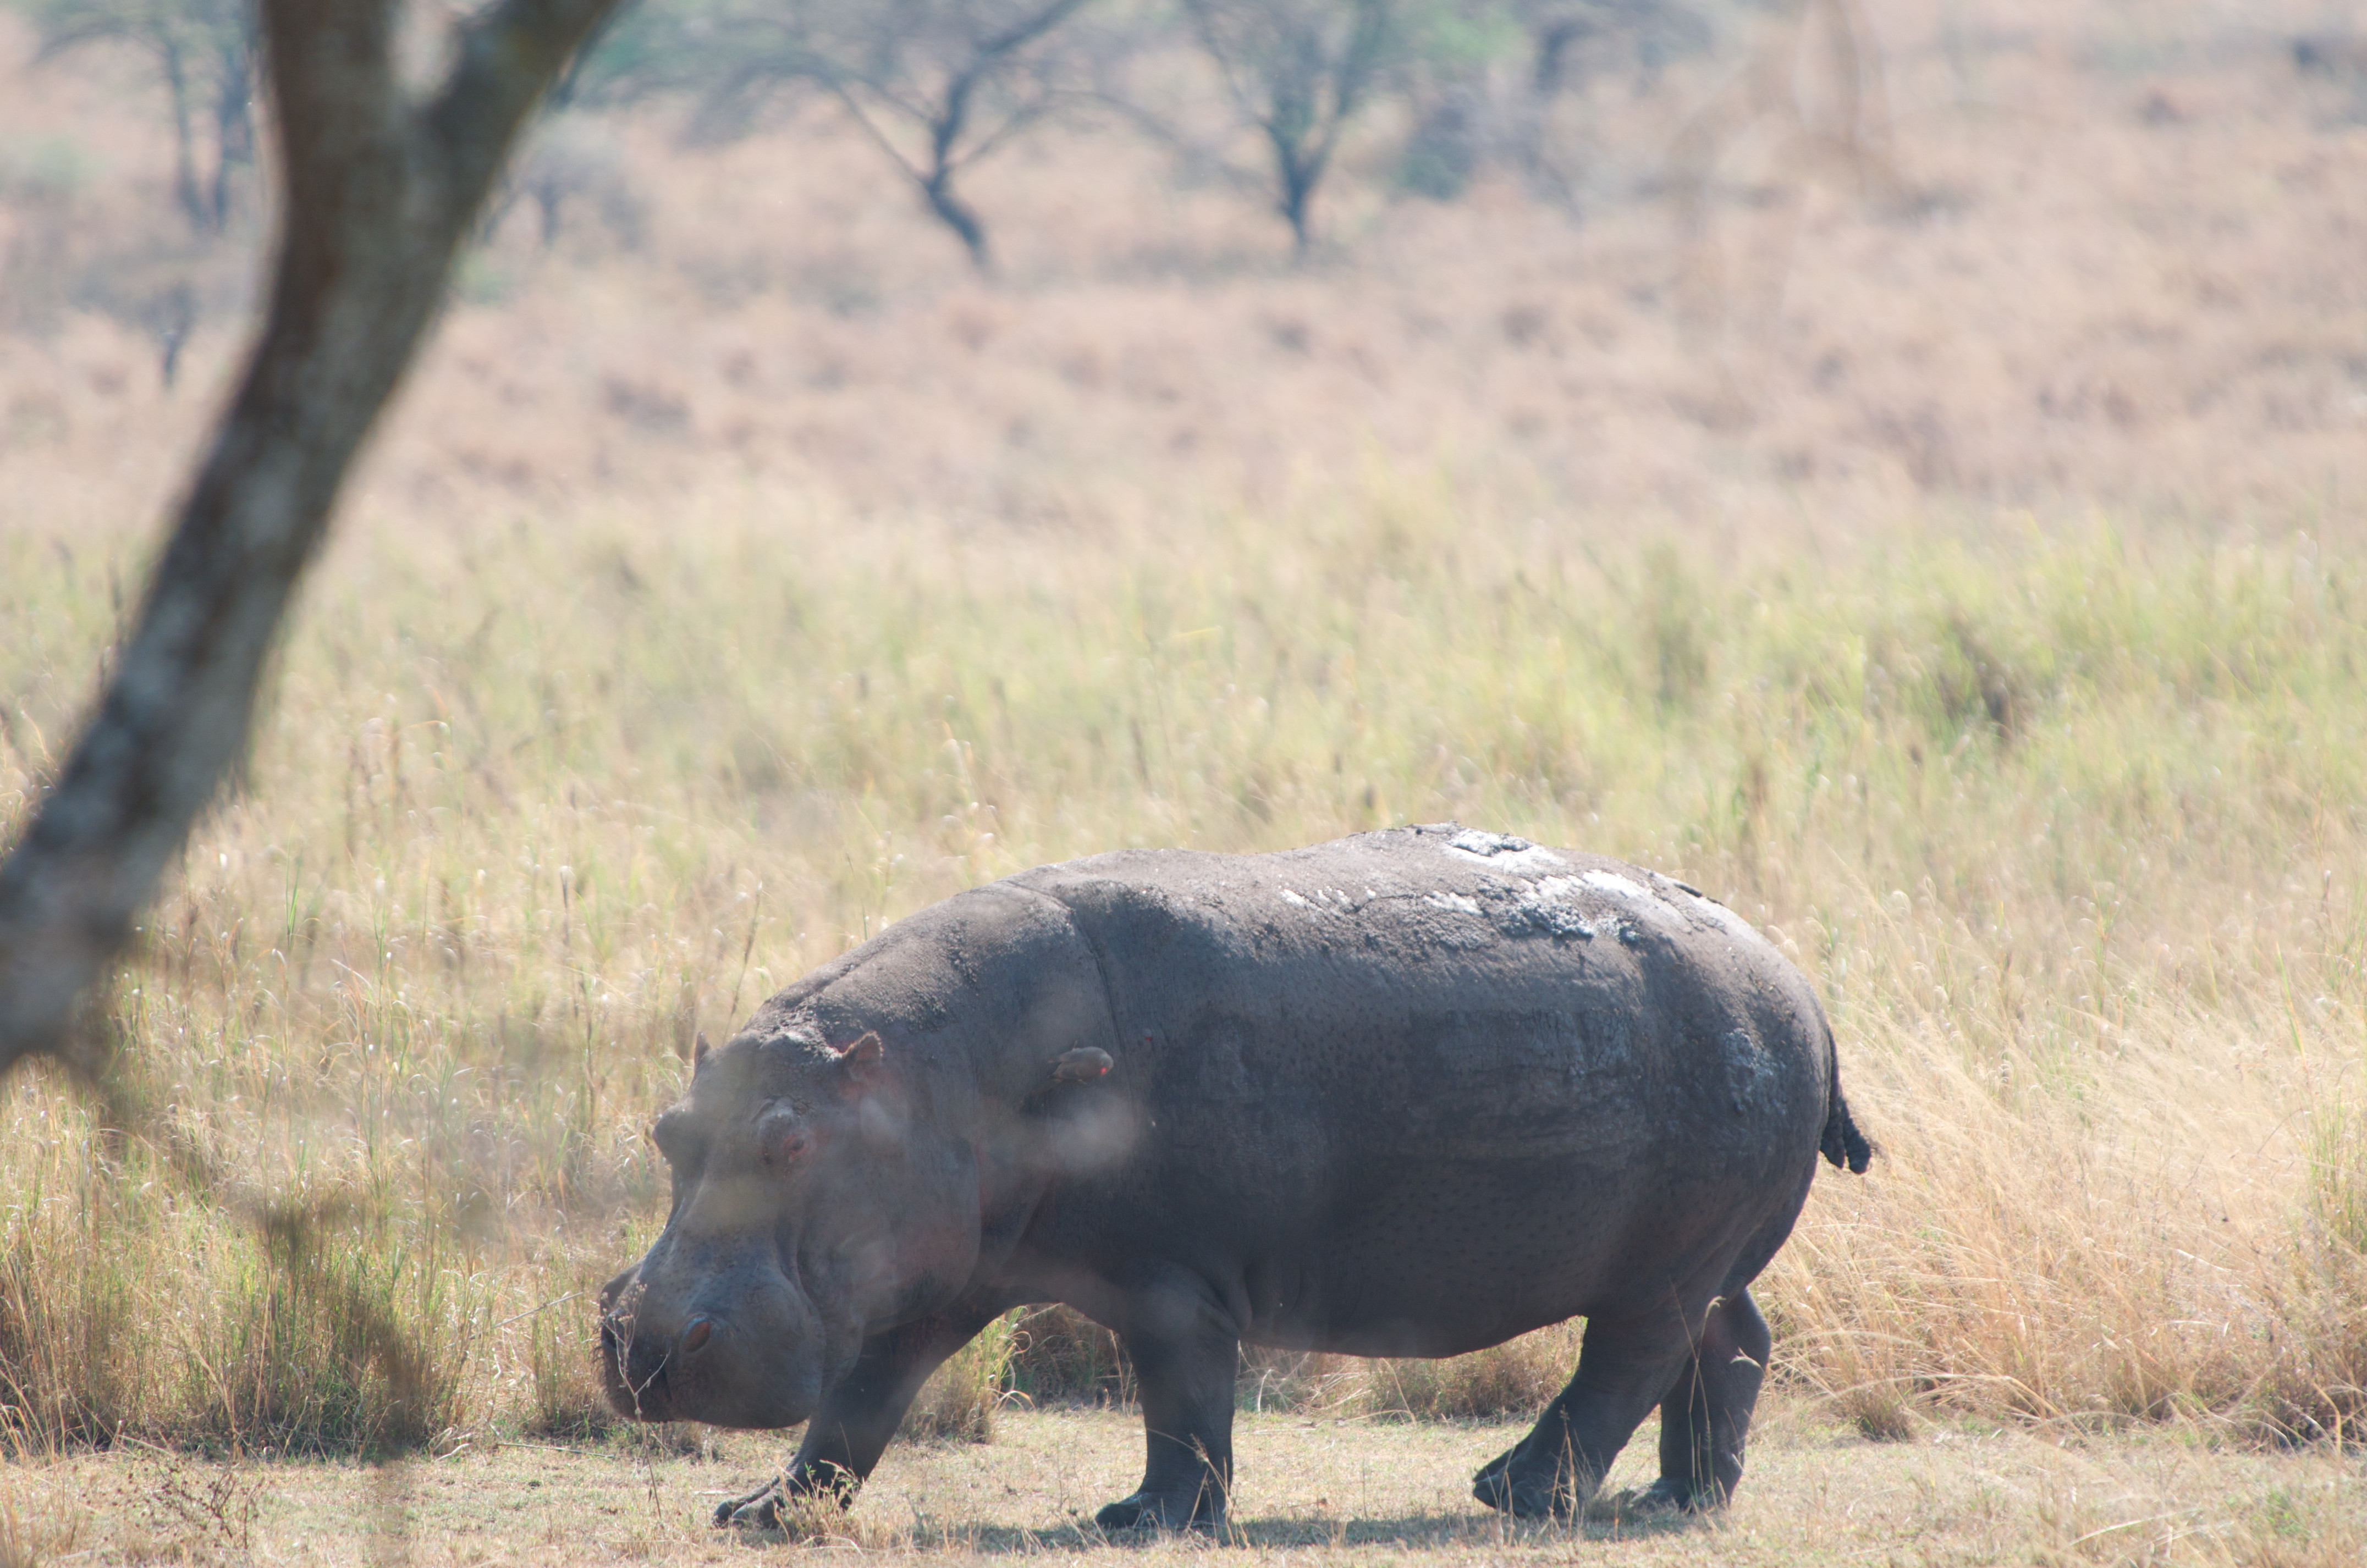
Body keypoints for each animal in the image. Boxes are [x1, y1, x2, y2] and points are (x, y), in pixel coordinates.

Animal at [599, 824, 1871, 1531]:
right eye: (668, 1129)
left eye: (791, 1144)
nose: (647, 1343)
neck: (936, 1076)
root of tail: (1797, 982)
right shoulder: (942, 1270)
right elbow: (856, 1403)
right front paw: (757, 1513)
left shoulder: (1173, 1280)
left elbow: (1182, 1403)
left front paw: (1140, 1521)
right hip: (1701, 1249)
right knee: (1731, 1336)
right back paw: (1677, 1498)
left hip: (1659, 1261)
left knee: (1625, 1361)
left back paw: (1511, 1494)